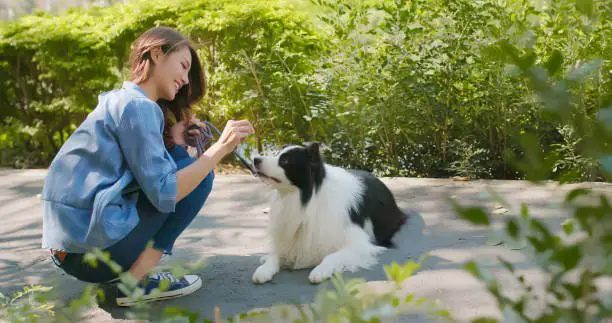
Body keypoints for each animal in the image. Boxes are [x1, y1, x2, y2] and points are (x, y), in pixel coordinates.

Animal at [249, 143, 406, 284]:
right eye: (276, 154)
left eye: (285, 161)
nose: (255, 159)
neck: (306, 198)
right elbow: (277, 253)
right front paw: (264, 269)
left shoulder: (359, 244)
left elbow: (331, 256)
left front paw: (320, 270)